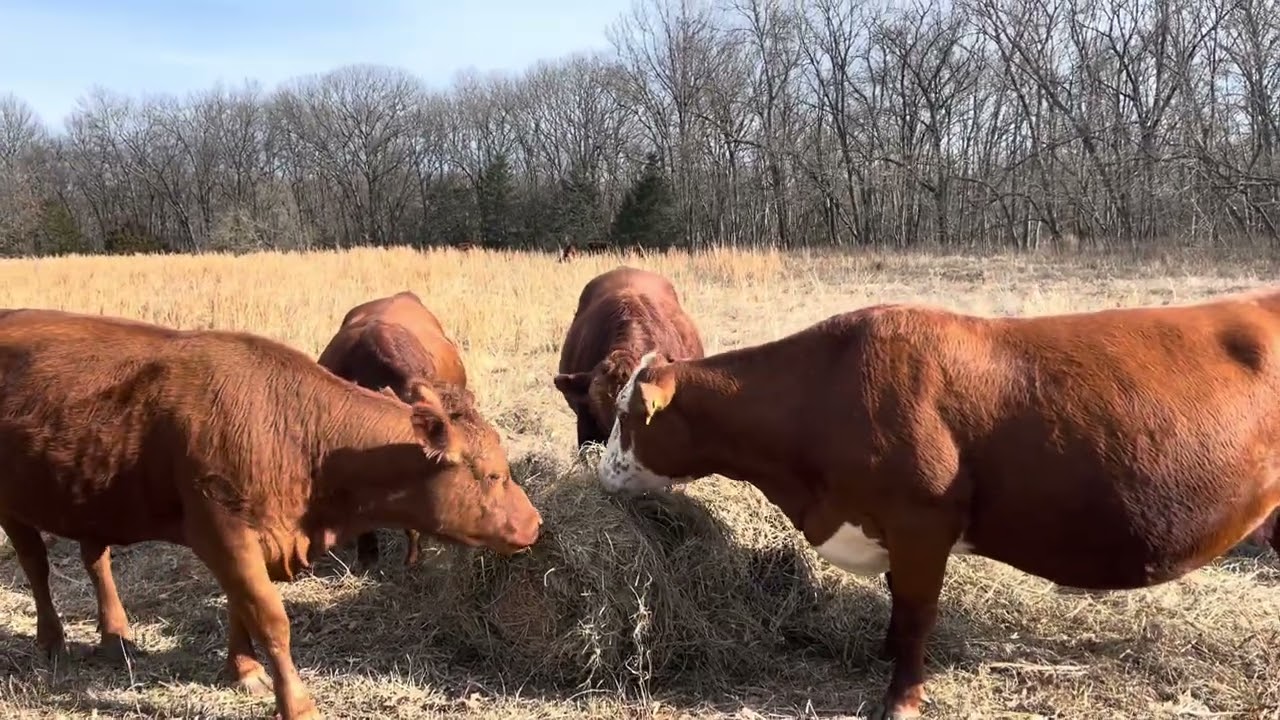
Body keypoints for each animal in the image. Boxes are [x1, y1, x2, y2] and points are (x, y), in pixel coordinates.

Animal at [596, 291, 1280, 720]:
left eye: (629, 416)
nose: (601, 475)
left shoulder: (921, 521)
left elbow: (918, 610)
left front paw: (901, 698)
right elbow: (897, 601)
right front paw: (885, 653)